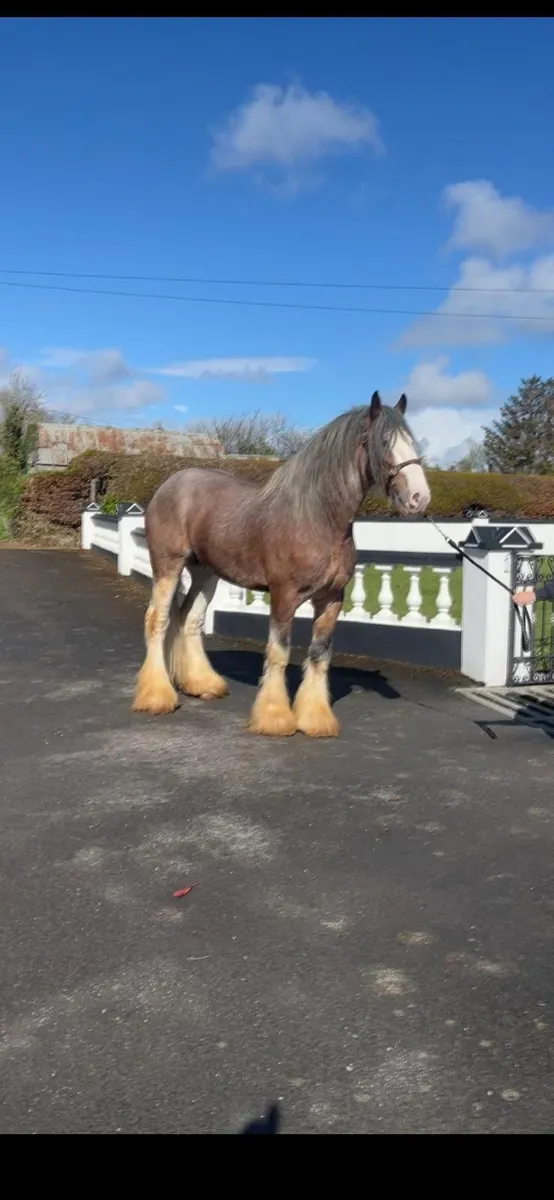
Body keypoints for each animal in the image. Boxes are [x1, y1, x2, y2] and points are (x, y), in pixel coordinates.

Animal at [132, 391, 431, 738]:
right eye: (384, 442)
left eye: (412, 442)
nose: (419, 498)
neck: (317, 518)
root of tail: (170, 485)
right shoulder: (283, 595)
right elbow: (279, 651)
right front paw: (274, 717)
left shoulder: (331, 599)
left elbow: (319, 654)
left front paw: (315, 719)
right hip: (168, 566)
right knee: (158, 619)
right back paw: (156, 697)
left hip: (206, 572)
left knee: (189, 617)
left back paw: (202, 684)